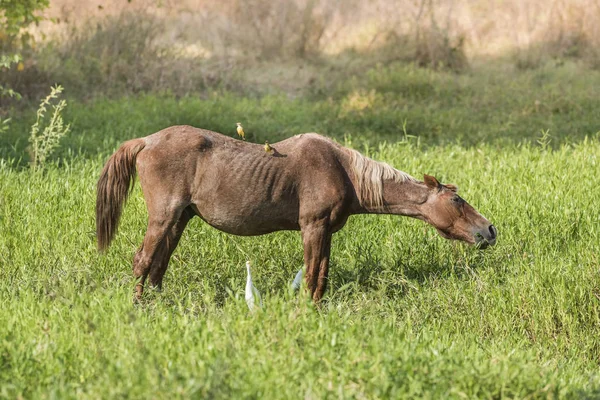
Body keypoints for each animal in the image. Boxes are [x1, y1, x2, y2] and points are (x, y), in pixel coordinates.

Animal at [95, 126, 496, 302]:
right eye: (457, 201)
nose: (490, 230)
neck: (344, 172)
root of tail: (146, 140)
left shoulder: (326, 231)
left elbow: (321, 276)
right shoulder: (312, 227)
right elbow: (312, 274)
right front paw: (306, 310)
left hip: (180, 219)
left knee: (158, 263)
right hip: (164, 216)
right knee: (143, 260)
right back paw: (138, 306)